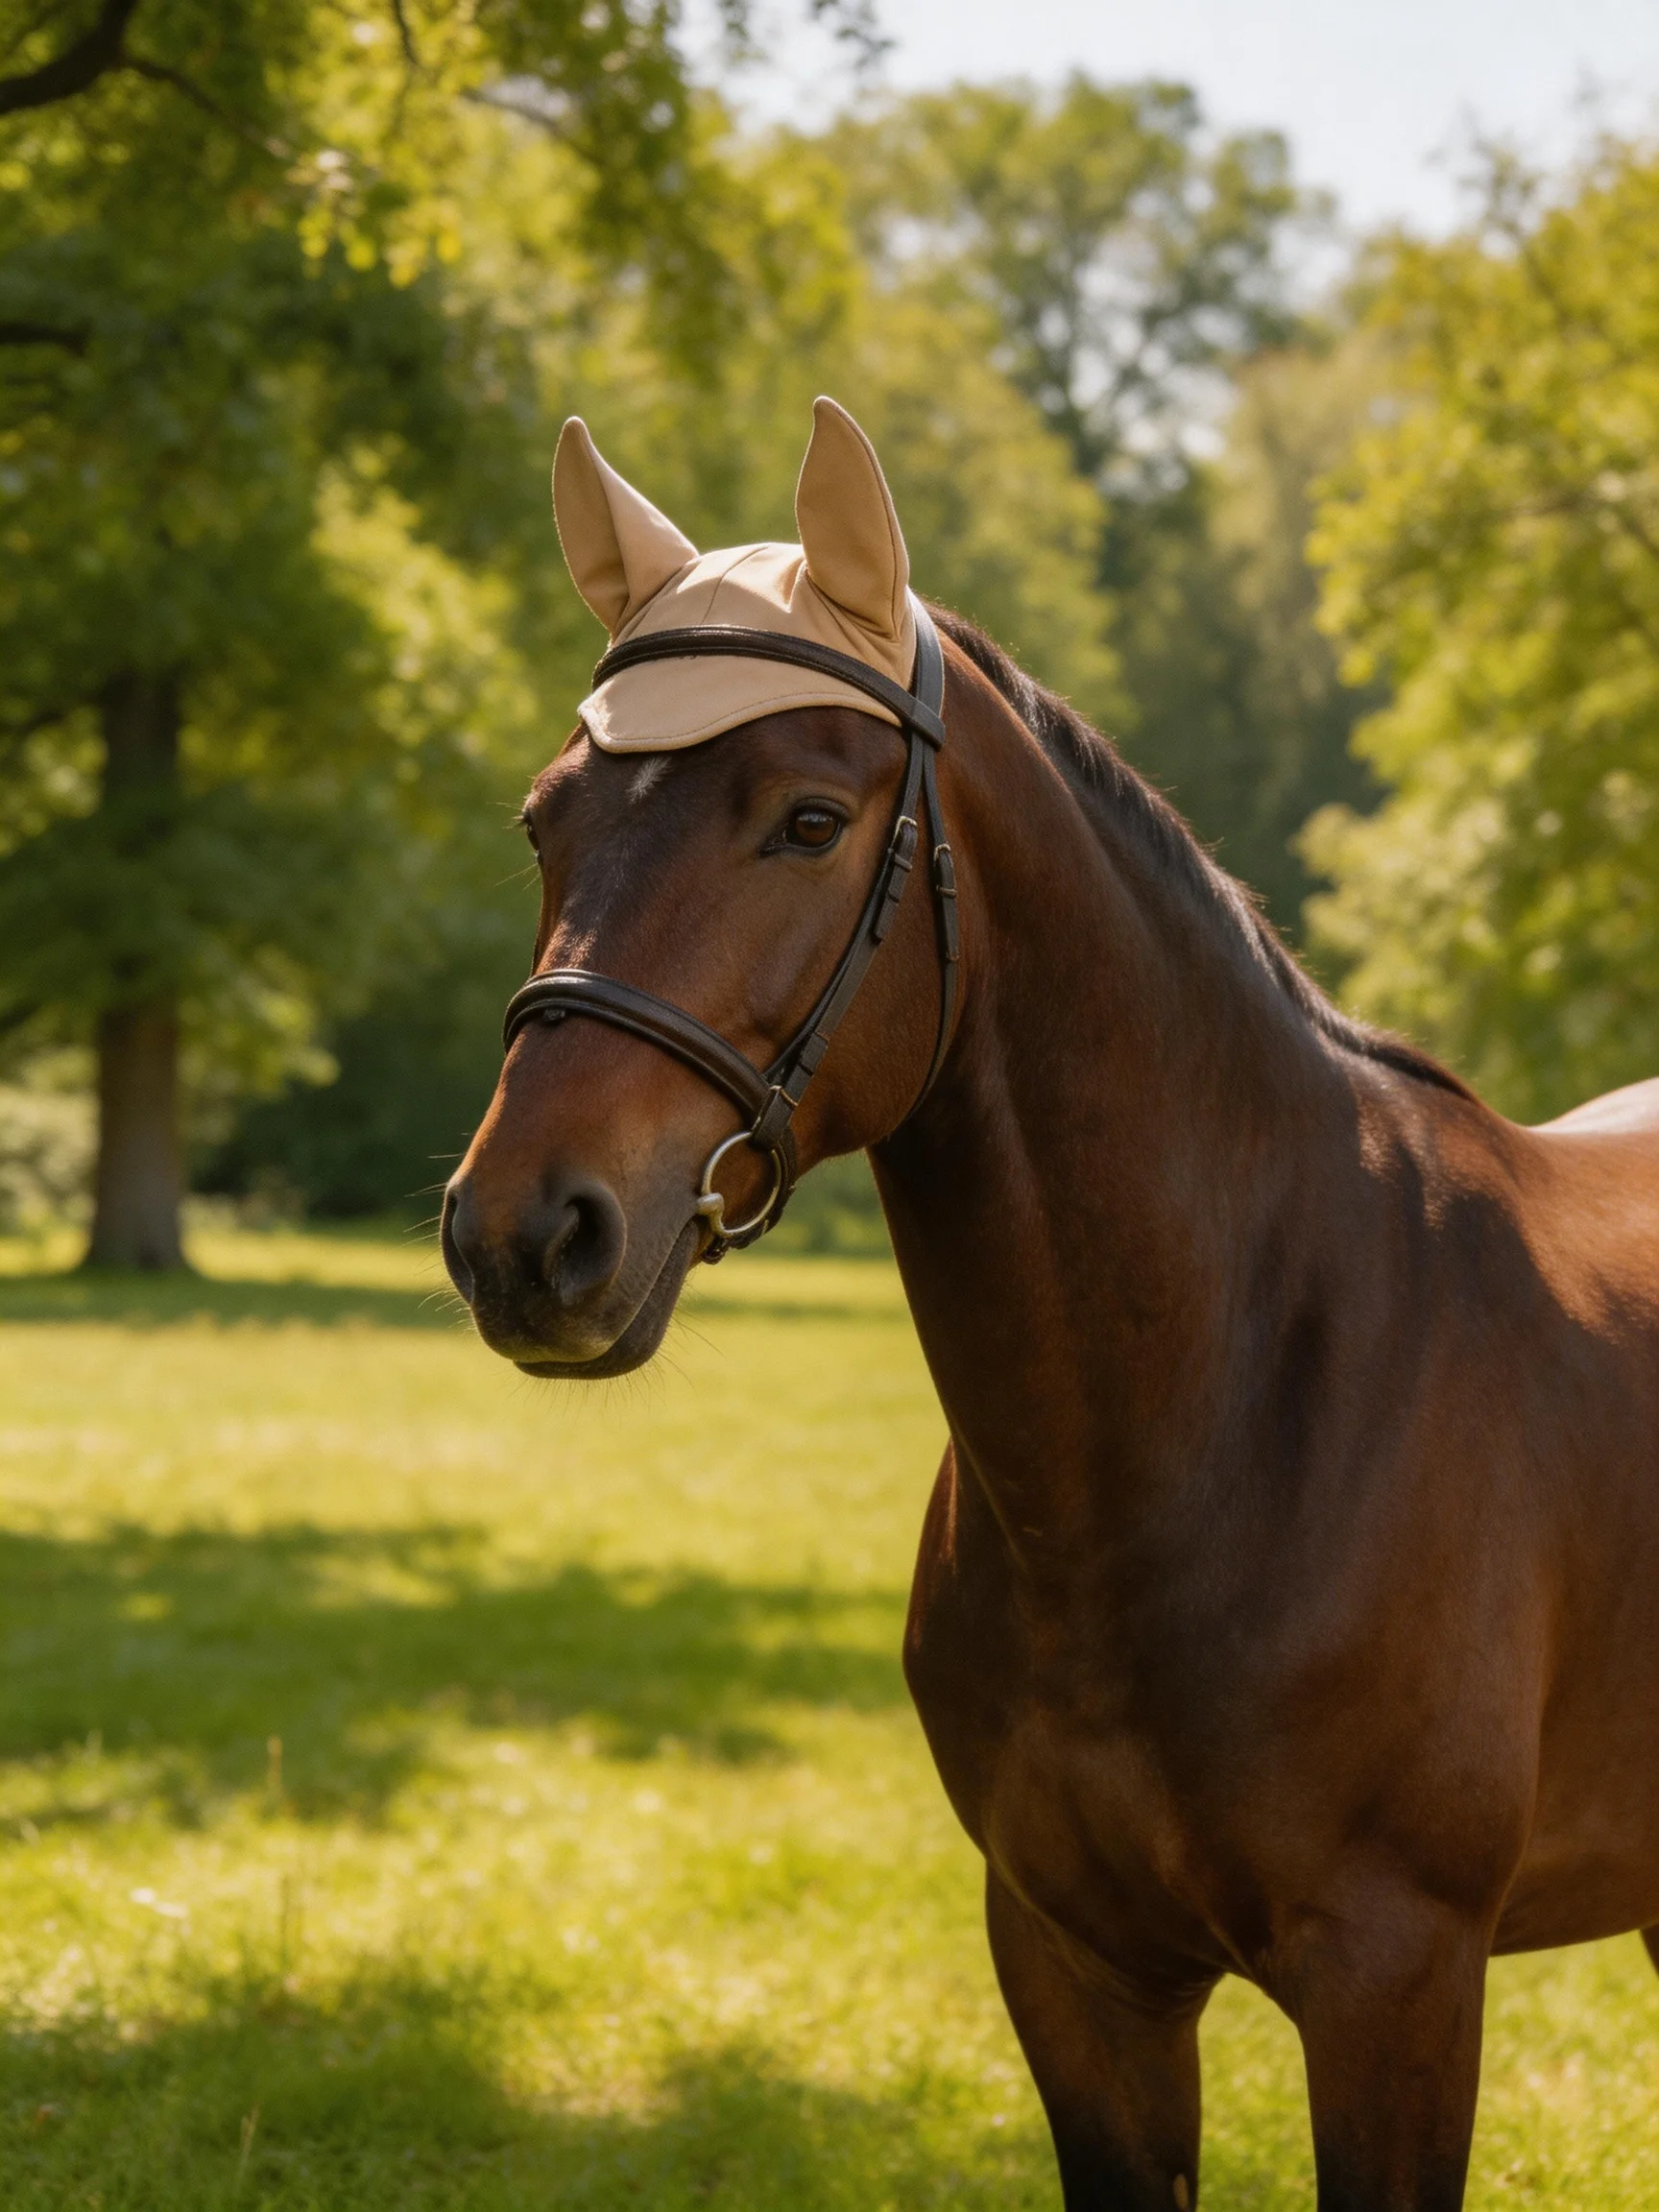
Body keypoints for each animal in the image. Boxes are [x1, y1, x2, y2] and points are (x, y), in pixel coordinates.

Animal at [442, 399, 1659, 2210]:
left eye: (809, 819)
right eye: (547, 822)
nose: (525, 1235)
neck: (1232, 1408)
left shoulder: (1399, 1980)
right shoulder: (1076, 1970)